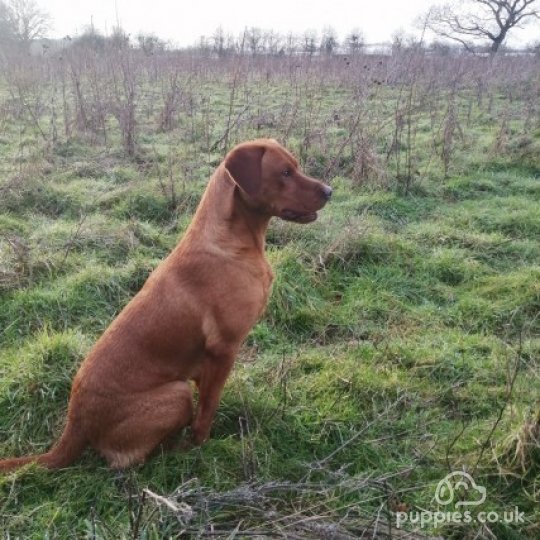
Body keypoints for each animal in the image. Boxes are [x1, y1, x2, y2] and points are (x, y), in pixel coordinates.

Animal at [0, 137, 332, 470]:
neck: (233, 243)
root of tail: (75, 423)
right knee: (133, 459)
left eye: (296, 166)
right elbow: (208, 408)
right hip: (177, 392)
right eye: (285, 172)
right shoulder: (223, 348)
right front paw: (202, 445)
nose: (330, 191)